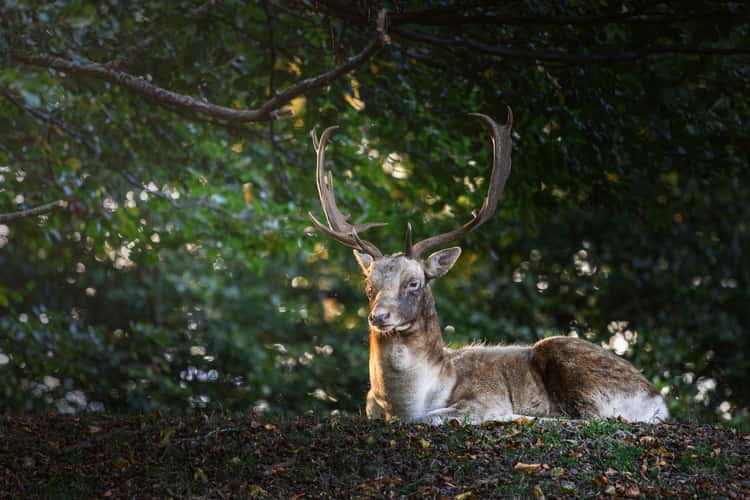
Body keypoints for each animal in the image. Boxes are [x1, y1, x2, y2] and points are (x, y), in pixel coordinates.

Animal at [308, 109, 668, 424]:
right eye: (369, 285)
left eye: (414, 282)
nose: (379, 317)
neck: (404, 402)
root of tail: (659, 401)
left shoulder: (484, 395)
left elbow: (433, 417)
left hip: (569, 359)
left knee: (591, 416)